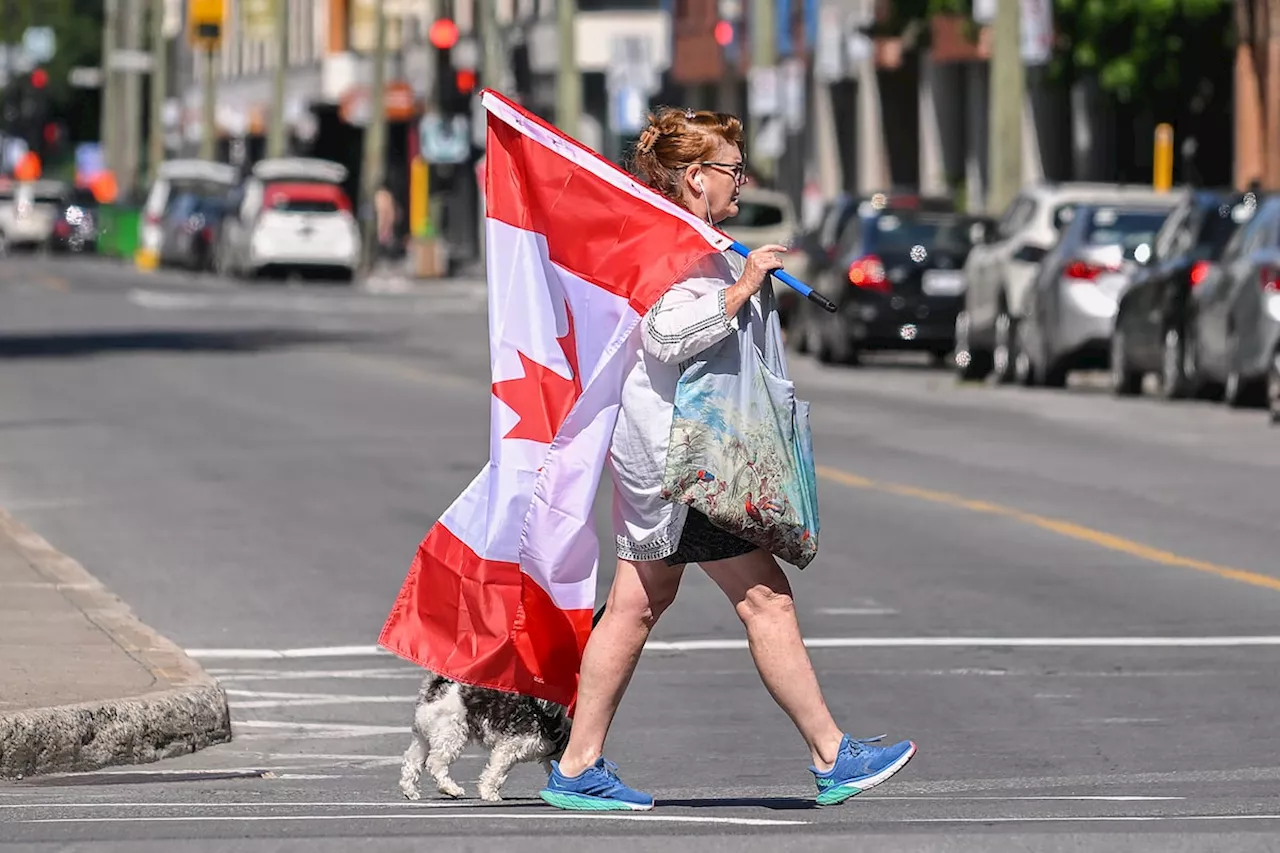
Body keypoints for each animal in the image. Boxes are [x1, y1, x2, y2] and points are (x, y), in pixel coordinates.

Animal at [396, 604, 601, 799]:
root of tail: (438, 686)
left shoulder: (557, 751)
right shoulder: (510, 746)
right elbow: (496, 772)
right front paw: (489, 793)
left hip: (424, 736)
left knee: (412, 760)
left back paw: (411, 791)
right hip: (451, 734)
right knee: (435, 763)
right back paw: (451, 789)